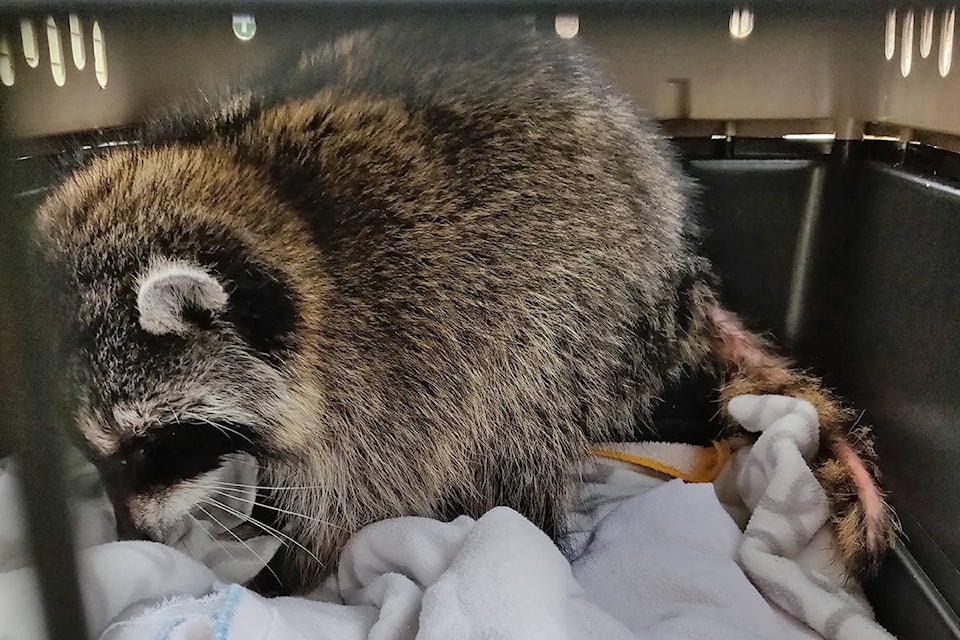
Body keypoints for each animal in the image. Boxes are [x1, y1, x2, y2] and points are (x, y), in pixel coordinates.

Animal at [34, 17, 896, 594]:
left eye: (151, 443)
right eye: (89, 452)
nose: (130, 534)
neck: (269, 201)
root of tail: (677, 263)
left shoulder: (395, 379)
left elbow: (356, 504)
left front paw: (284, 575)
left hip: (577, 316)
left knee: (521, 423)